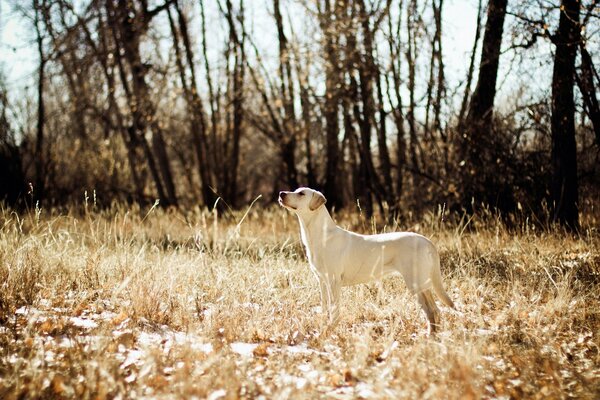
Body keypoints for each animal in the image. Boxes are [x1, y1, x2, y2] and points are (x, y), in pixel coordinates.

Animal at [280, 188, 454, 334]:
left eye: (301, 193)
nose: (281, 193)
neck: (319, 235)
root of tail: (426, 241)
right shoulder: (321, 280)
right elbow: (324, 307)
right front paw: (323, 326)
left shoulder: (333, 281)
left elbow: (334, 309)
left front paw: (330, 330)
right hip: (422, 283)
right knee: (435, 310)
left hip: (415, 283)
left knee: (431, 311)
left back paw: (430, 336)